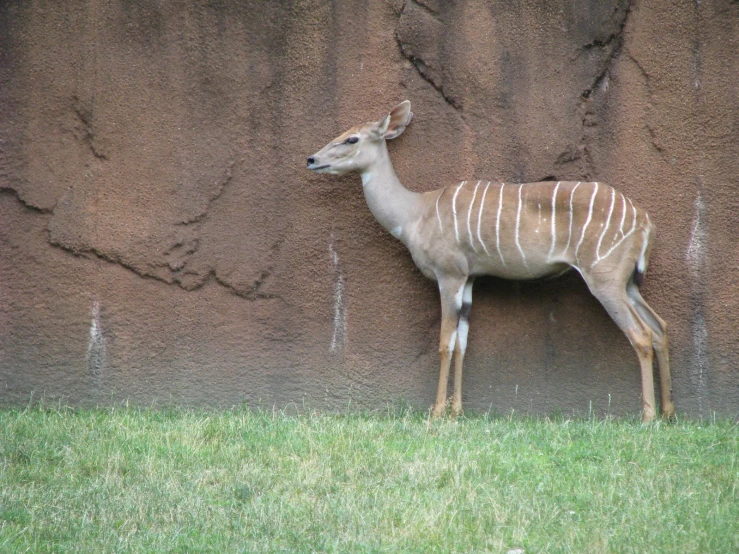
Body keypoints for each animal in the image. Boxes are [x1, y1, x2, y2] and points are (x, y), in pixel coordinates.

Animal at [306, 100, 676, 418]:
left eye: (351, 138)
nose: (311, 159)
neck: (414, 213)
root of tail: (646, 221)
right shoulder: (470, 279)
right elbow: (462, 342)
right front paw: (457, 412)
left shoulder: (449, 275)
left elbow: (445, 341)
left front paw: (437, 413)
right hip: (627, 281)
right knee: (660, 327)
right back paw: (669, 412)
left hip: (604, 278)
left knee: (641, 334)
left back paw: (647, 417)